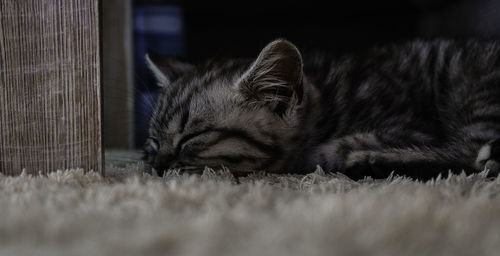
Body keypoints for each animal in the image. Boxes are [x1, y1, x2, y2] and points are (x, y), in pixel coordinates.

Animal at [143, 39, 500, 180]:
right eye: (153, 142)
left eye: (191, 138)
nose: (158, 166)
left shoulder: (412, 127)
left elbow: (336, 146)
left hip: (472, 87)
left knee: (472, 154)